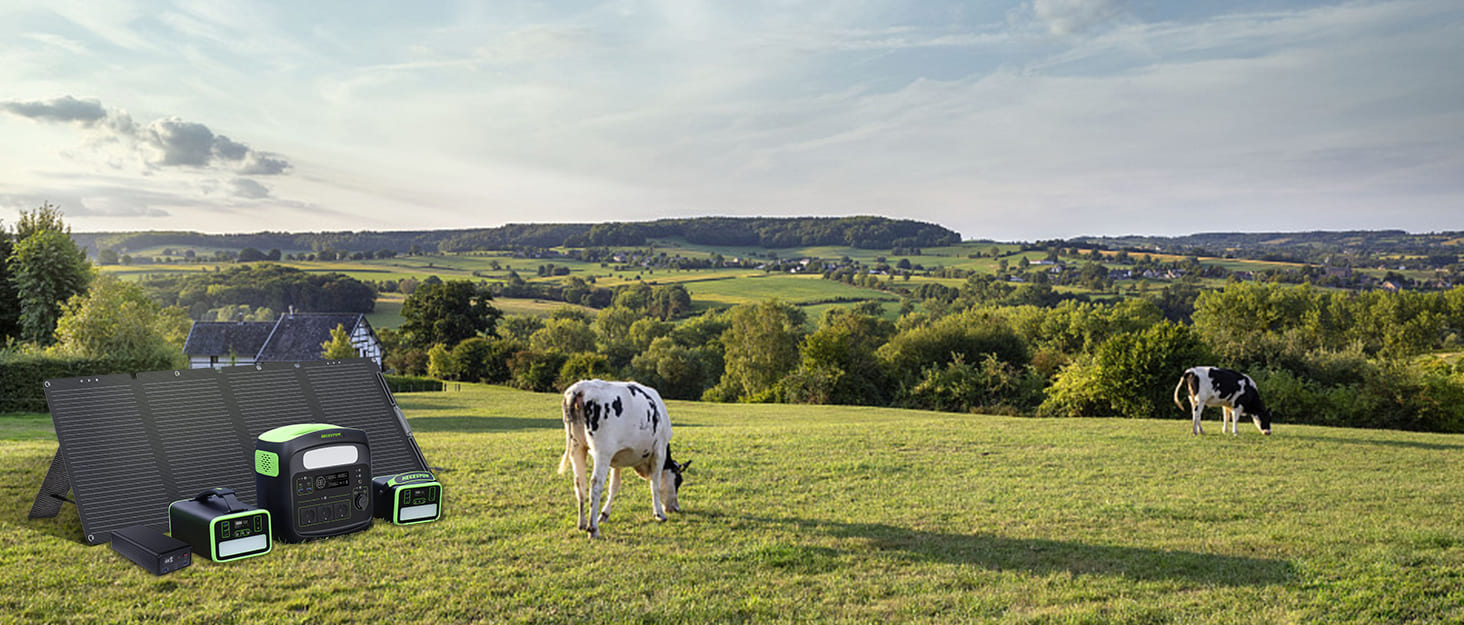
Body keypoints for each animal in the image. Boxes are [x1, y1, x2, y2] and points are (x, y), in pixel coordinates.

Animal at [556, 380, 688, 541]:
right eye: (678, 481)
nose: (676, 508)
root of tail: (580, 388)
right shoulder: (659, 451)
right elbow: (655, 484)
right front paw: (659, 513)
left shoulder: (616, 458)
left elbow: (614, 486)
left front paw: (604, 514)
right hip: (602, 452)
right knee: (595, 485)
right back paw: (593, 529)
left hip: (577, 447)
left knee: (580, 482)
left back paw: (582, 523)